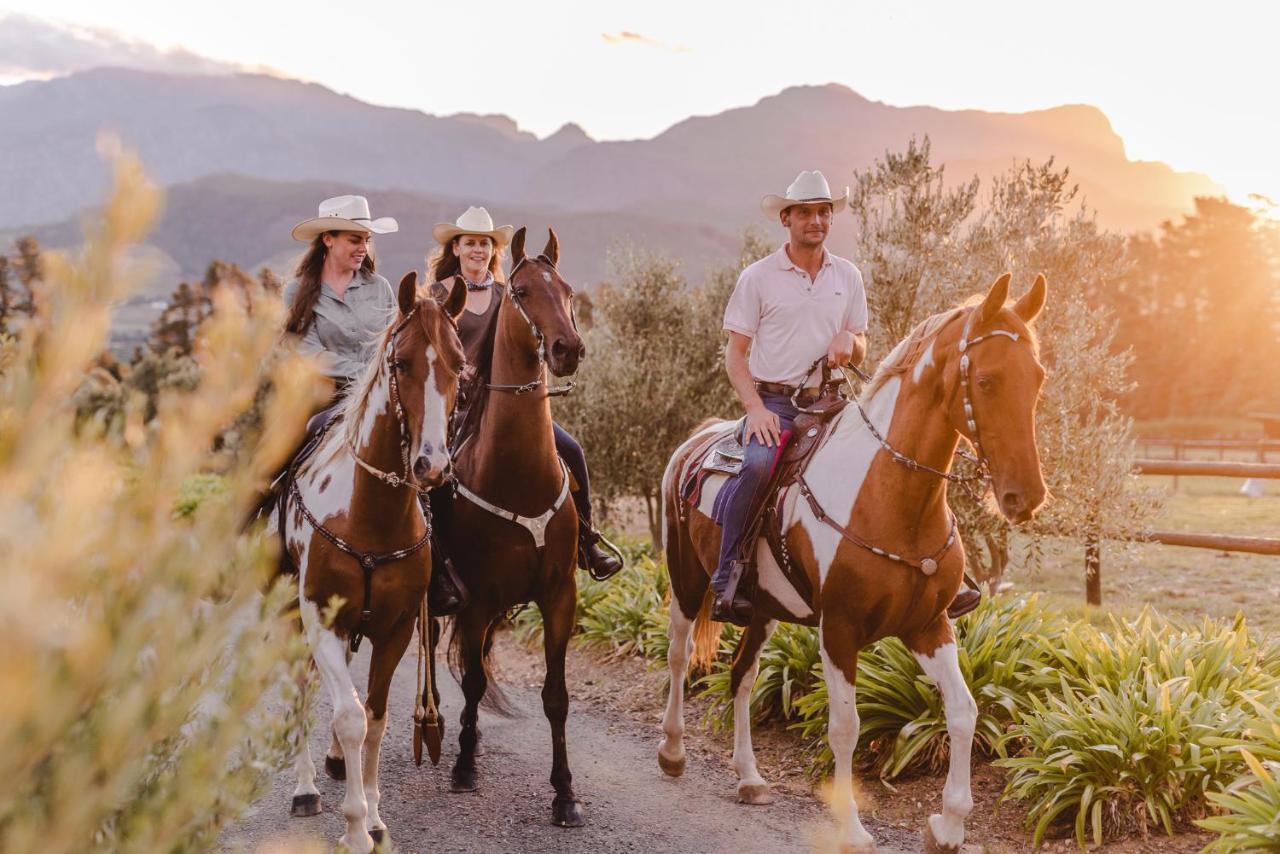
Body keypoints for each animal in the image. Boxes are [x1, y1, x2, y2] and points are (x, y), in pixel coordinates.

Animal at [270, 275, 465, 854]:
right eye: (400, 362)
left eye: (460, 363)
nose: (431, 465)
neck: (369, 514)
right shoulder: (321, 620)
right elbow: (350, 716)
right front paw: (355, 826)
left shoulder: (395, 628)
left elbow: (375, 718)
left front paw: (376, 818)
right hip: (290, 618)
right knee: (301, 692)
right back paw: (306, 787)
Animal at [430, 226, 588, 829]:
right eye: (520, 291)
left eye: (567, 289)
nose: (568, 349)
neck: (519, 472)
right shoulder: (475, 598)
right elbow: (473, 680)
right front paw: (464, 767)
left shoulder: (559, 595)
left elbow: (556, 696)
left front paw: (565, 794)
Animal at [660, 275, 1049, 854]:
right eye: (986, 380)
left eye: (1038, 378)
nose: (1026, 496)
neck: (893, 498)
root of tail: (696, 440)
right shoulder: (838, 630)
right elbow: (845, 726)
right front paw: (850, 826)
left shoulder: (929, 626)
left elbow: (963, 711)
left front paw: (950, 823)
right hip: (687, 583)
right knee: (680, 657)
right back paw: (673, 750)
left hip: (761, 609)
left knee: (742, 675)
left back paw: (750, 777)